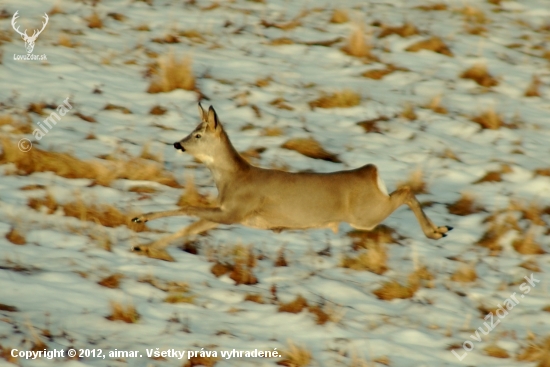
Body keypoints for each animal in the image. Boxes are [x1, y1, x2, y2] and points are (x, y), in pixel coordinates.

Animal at [134, 104, 452, 262]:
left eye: (198, 134)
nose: (177, 144)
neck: (234, 179)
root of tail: (370, 172)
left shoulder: (235, 210)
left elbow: (188, 209)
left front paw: (140, 225)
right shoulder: (227, 213)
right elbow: (189, 227)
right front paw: (143, 242)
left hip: (365, 215)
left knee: (406, 191)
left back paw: (438, 231)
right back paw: (440, 229)